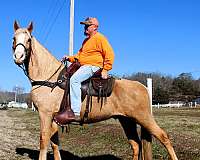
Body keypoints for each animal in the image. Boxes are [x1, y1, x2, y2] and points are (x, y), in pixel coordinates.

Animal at [12, 21, 178, 160]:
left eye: (28, 40)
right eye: (14, 38)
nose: (18, 56)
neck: (49, 77)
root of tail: (143, 87)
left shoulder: (45, 115)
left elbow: (44, 140)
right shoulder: (52, 118)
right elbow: (54, 143)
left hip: (143, 118)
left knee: (164, 137)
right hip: (127, 120)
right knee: (136, 145)